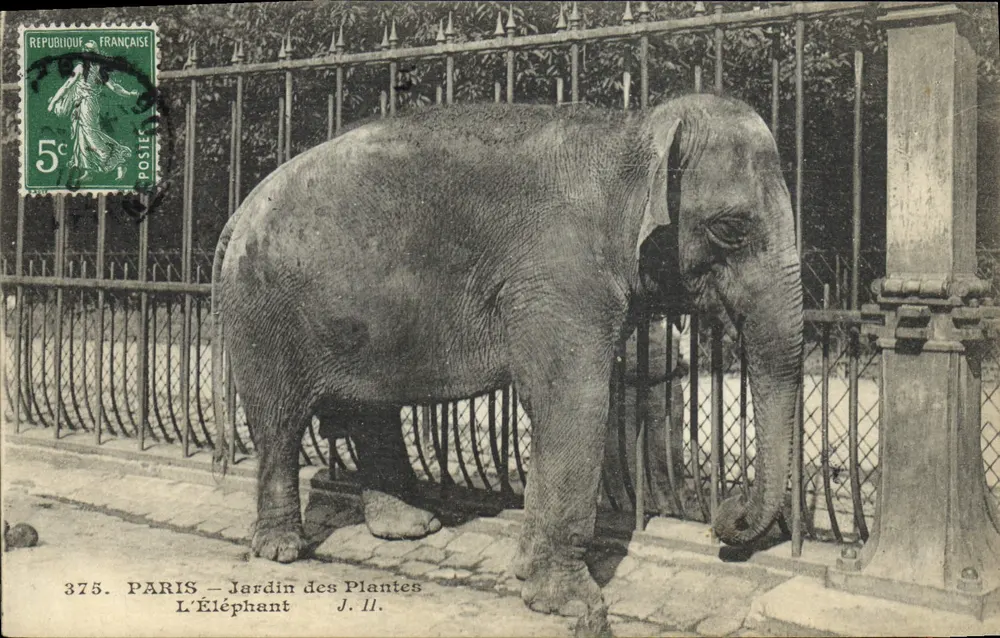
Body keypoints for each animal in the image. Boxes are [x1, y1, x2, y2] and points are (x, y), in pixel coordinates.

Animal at [210, 93, 804, 618]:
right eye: (731, 228)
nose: (726, 520)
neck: (633, 133)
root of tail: (239, 211)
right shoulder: (557, 275)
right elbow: (573, 401)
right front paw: (570, 604)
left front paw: (527, 575)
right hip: (265, 311)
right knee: (280, 422)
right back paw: (284, 550)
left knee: (370, 411)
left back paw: (410, 528)